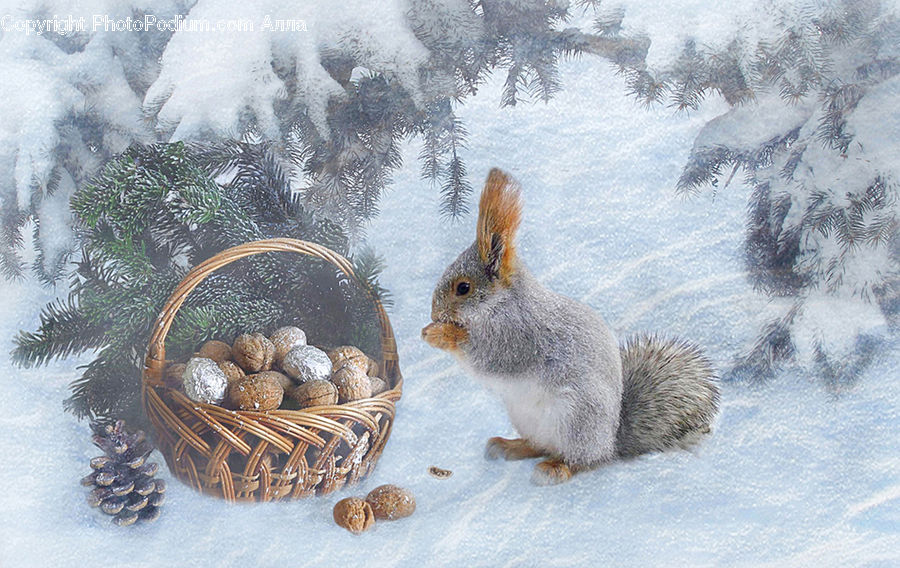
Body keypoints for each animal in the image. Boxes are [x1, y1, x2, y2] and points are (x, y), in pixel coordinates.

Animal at [422, 168, 720, 485]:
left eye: (463, 288)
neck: (501, 304)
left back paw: (555, 468)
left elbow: (486, 357)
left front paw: (439, 334)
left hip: (576, 420)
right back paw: (509, 446)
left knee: (583, 461)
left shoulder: (517, 338)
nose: (434, 312)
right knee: (541, 446)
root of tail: (610, 441)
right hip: (528, 419)